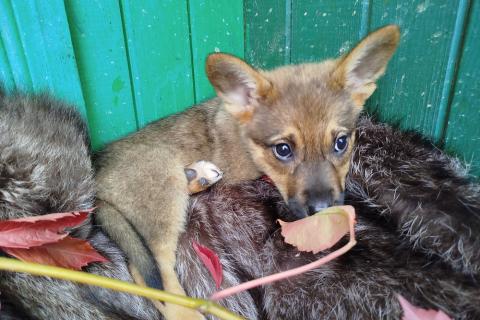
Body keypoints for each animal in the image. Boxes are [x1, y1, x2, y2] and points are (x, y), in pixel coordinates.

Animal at [94, 25, 402, 318]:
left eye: (341, 143)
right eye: (283, 149)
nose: (323, 210)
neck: (248, 144)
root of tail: (97, 181)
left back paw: (198, 175)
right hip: (163, 194)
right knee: (148, 274)